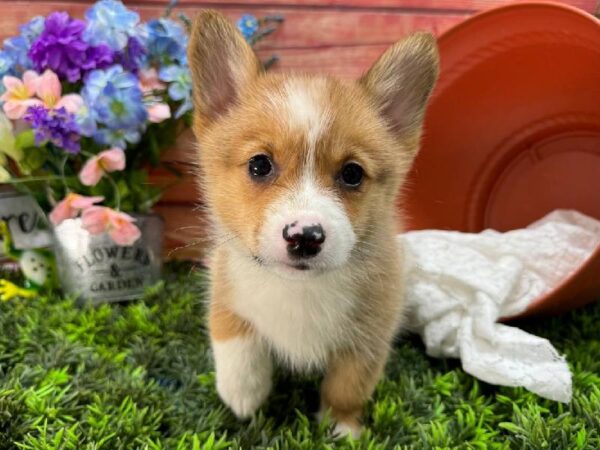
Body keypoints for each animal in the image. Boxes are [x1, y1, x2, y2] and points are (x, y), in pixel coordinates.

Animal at [189, 10, 440, 438]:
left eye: (352, 174)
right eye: (259, 165)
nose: (305, 237)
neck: (299, 289)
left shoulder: (369, 338)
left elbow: (346, 387)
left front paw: (343, 429)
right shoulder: (224, 282)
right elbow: (233, 337)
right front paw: (242, 396)